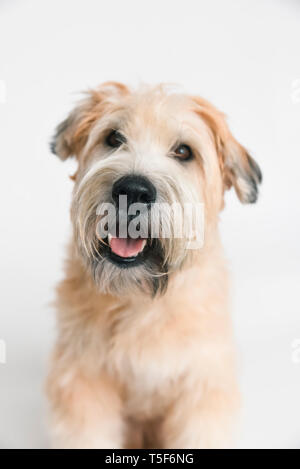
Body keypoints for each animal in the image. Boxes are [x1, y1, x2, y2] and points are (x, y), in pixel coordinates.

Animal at [45, 82, 262, 448]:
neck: (142, 300)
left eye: (184, 151)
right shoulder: (84, 383)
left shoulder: (202, 388)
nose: (132, 190)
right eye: (114, 137)